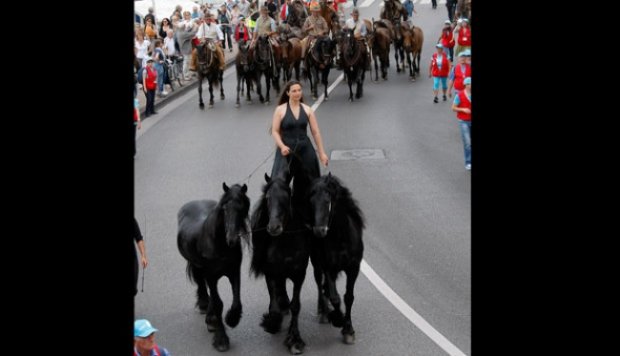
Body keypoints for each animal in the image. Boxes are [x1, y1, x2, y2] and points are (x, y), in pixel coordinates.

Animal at [176, 185, 251, 352]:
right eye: (224, 208)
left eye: (242, 208)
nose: (232, 239)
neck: (220, 245)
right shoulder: (211, 276)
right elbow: (218, 304)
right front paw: (221, 339)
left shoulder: (234, 272)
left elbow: (236, 301)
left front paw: (231, 319)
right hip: (197, 265)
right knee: (201, 282)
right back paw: (206, 308)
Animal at [251, 172, 312, 354]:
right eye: (268, 198)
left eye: (287, 197)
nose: (274, 227)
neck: (286, 242)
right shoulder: (271, 273)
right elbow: (274, 305)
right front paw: (271, 323)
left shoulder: (299, 274)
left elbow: (296, 305)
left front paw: (295, 340)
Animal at [308, 173, 366, 344]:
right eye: (311, 201)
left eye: (328, 200)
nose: (319, 231)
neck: (341, 238)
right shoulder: (329, 268)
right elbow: (335, 297)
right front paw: (338, 319)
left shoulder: (353, 268)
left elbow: (348, 297)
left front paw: (349, 330)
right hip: (316, 264)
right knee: (320, 285)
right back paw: (324, 312)